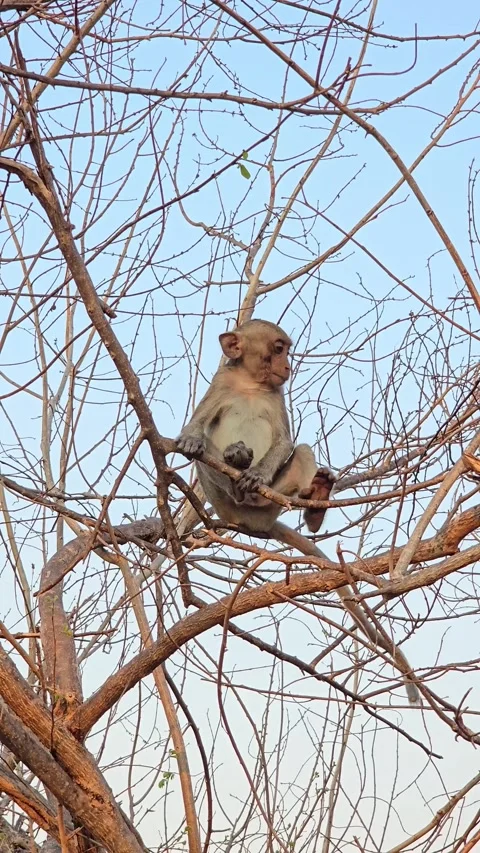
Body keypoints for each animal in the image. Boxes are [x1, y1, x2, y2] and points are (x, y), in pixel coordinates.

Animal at [177, 319, 420, 705]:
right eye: (278, 349)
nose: (287, 366)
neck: (250, 384)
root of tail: (254, 521)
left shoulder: (277, 396)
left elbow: (286, 441)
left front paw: (258, 474)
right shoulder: (221, 383)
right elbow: (195, 427)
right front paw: (192, 442)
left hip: (275, 501)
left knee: (301, 451)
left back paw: (306, 499)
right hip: (222, 502)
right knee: (207, 458)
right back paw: (234, 468)